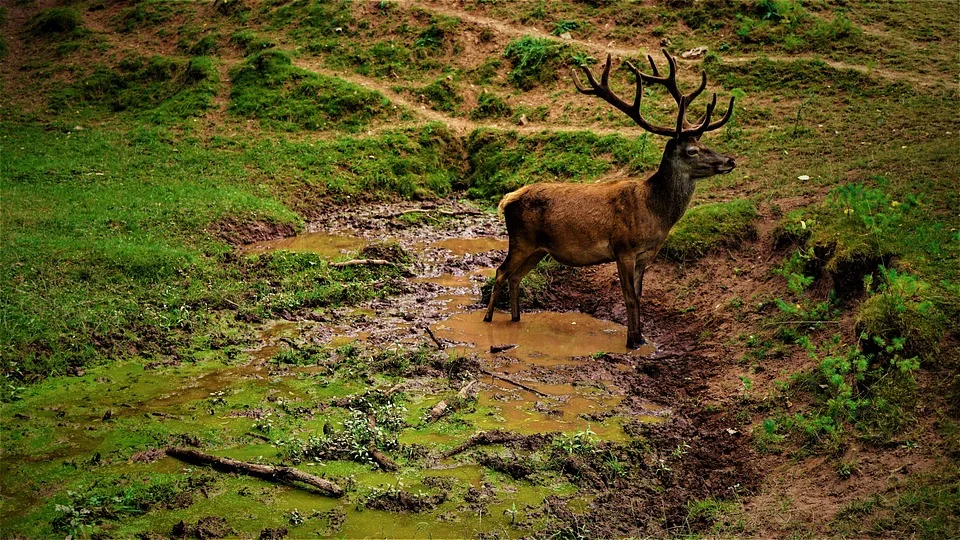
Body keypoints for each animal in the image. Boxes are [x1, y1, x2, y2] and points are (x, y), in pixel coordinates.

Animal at [484, 51, 740, 350]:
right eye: (691, 150)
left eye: (704, 143)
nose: (730, 161)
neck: (654, 212)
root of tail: (506, 200)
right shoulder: (623, 248)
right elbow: (628, 297)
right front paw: (631, 342)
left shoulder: (646, 255)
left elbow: (639, 296)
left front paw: (641, 339)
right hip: (521, 239)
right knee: (501, 271)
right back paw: (489, 319)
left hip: (538, 248)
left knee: (514, 276)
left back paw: (515, 319)